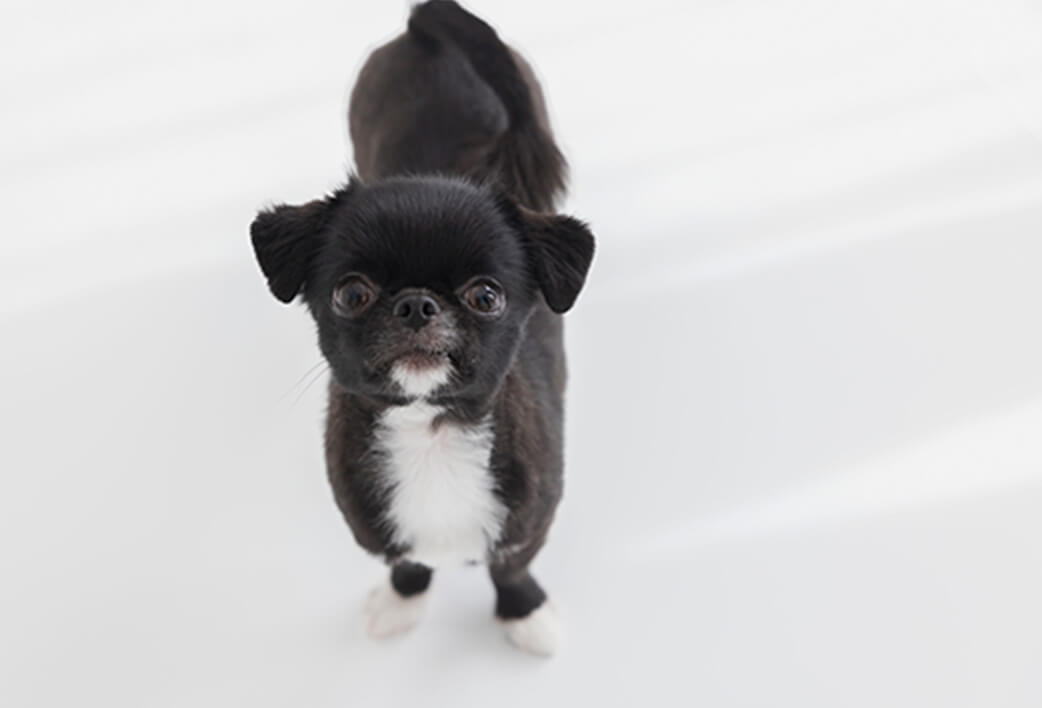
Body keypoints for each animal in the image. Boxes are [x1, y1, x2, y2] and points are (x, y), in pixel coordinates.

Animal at [247, 0, 596, 658]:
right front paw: (402, 602)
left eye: (486, 296)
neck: (431, 433)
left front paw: (524, 613)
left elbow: (510, 565)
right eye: (351, 293)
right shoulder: (369, 518)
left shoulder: (532, 515)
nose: (416, 305)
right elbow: (407, 563)